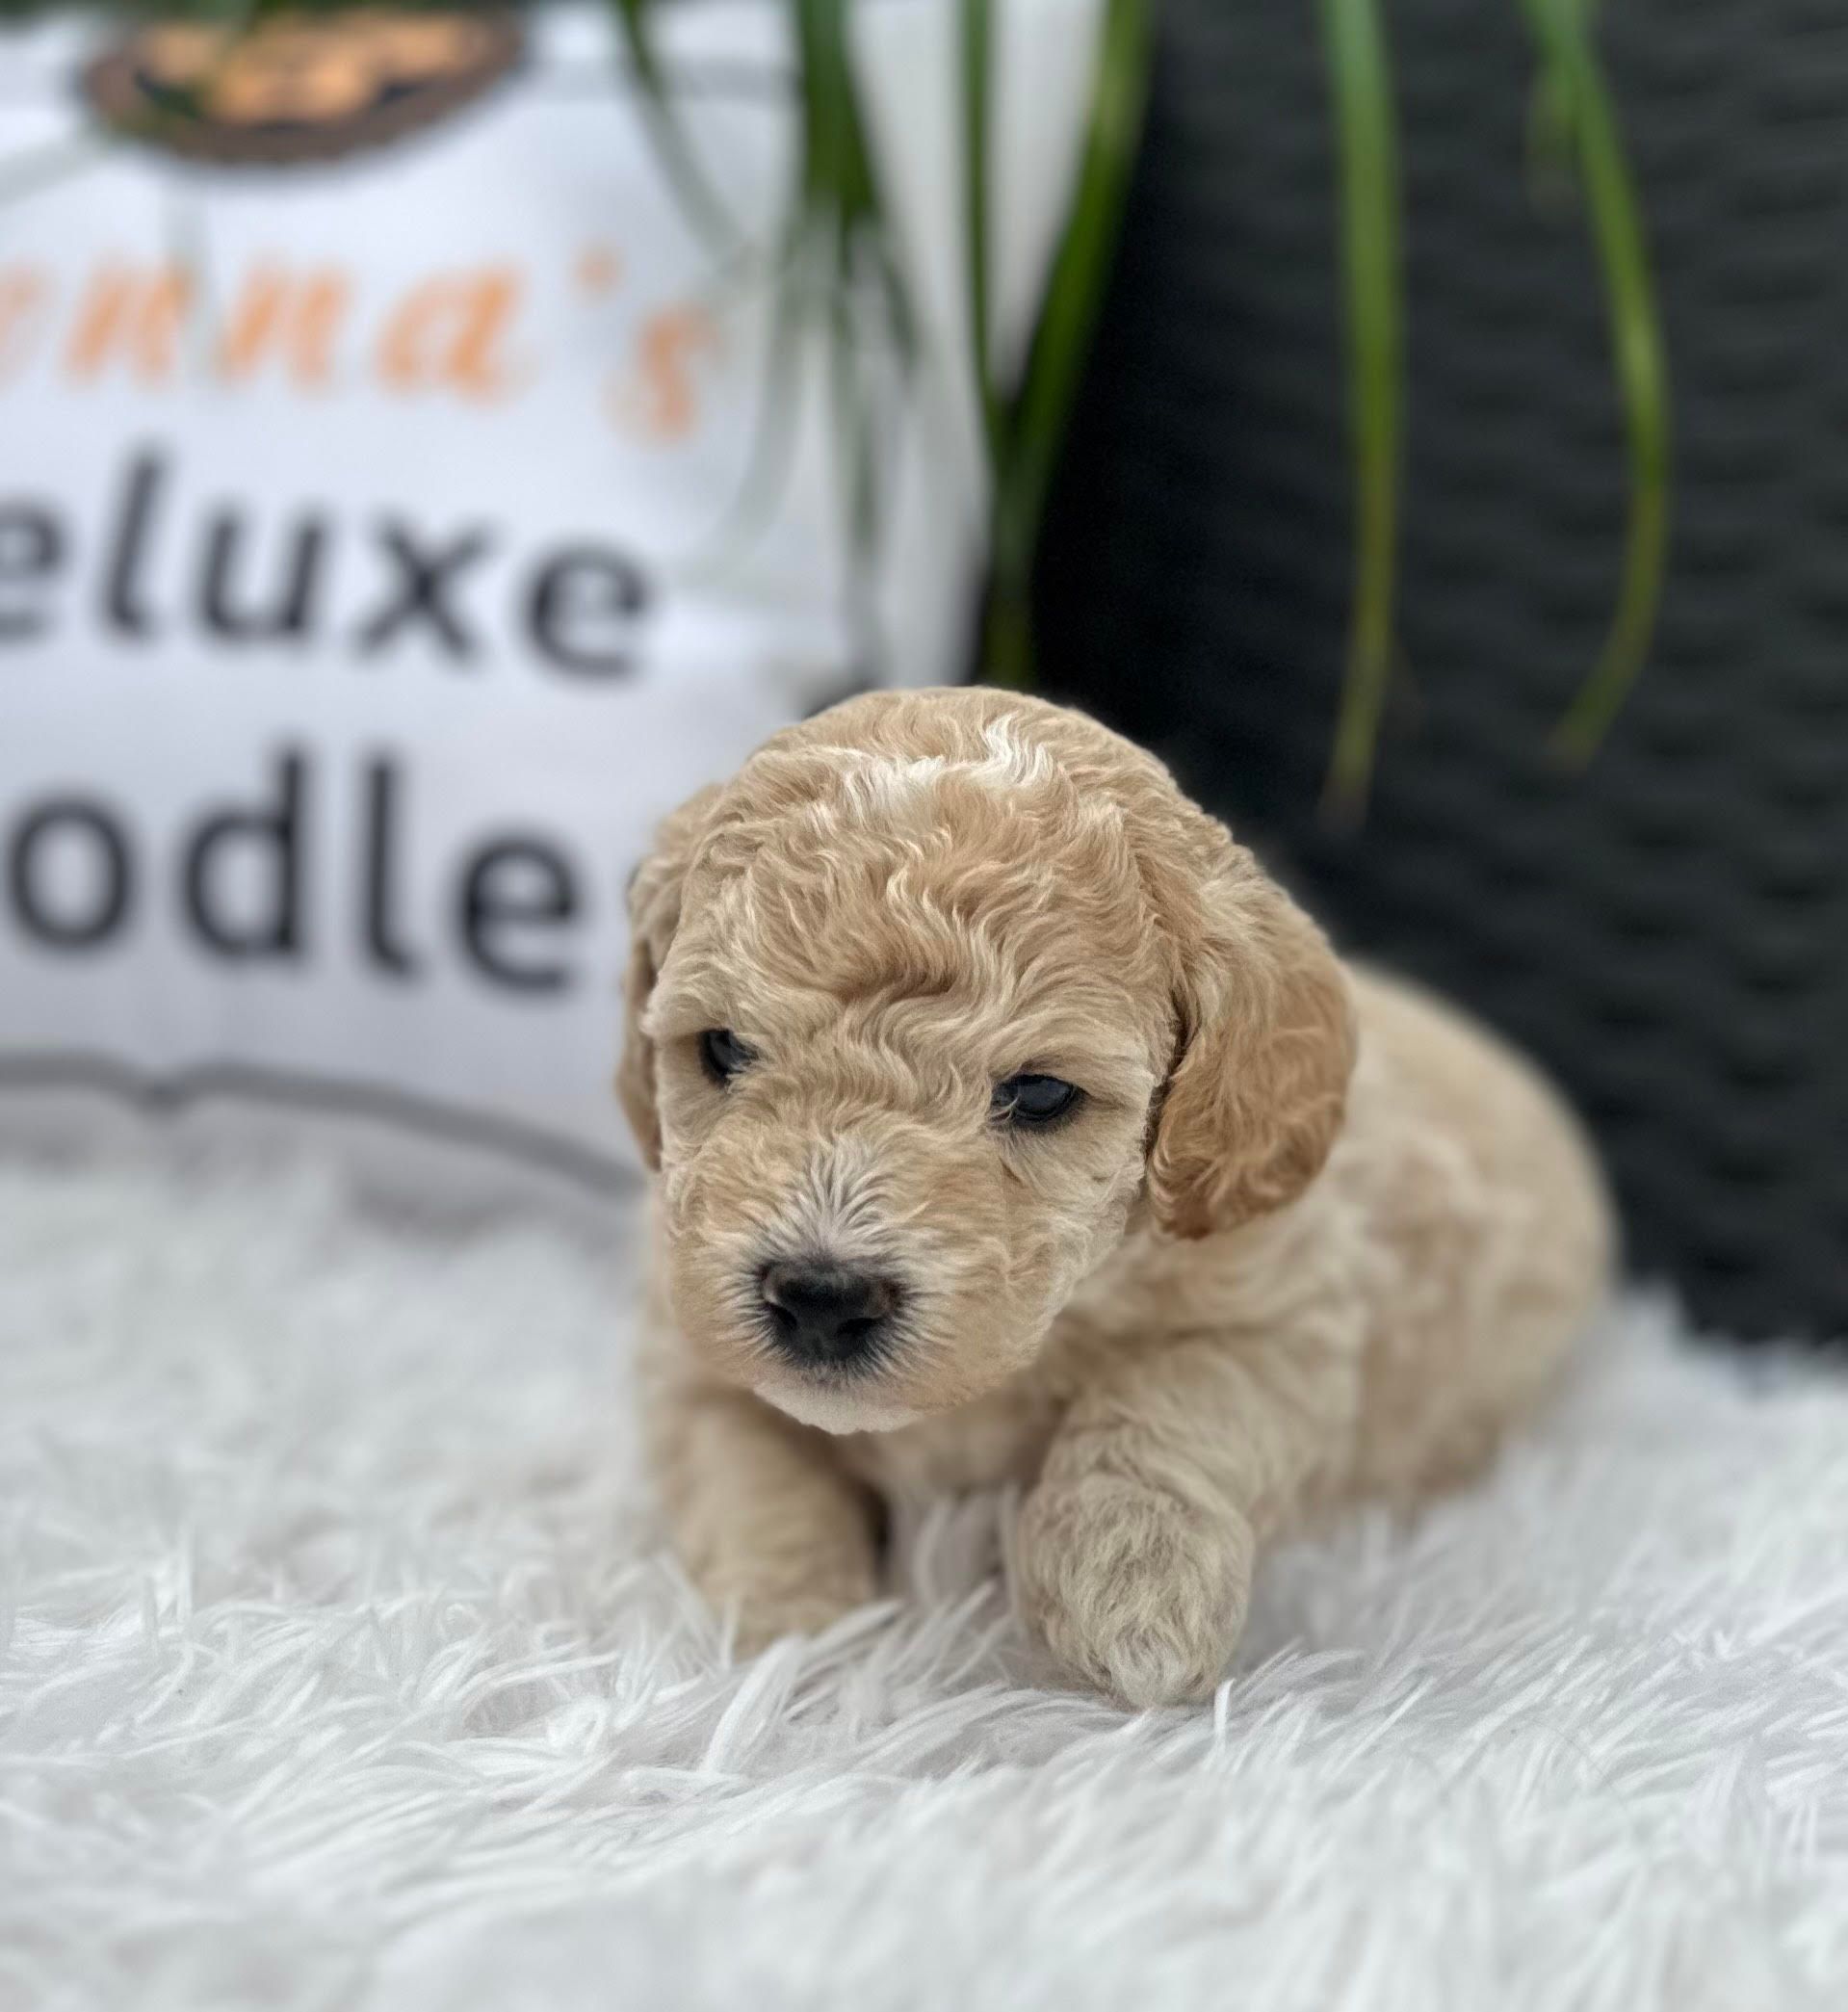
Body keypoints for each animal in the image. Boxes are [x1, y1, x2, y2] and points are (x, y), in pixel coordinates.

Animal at [619, 684, 1601, 1706]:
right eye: (722, 1047)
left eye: (1042, 1093)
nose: (820, 1296)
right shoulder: (679, 1333)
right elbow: (744, 1464)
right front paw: (794, 1640)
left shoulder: (1282, 1313)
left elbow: (1172, 1401)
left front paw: (1134, 1597)